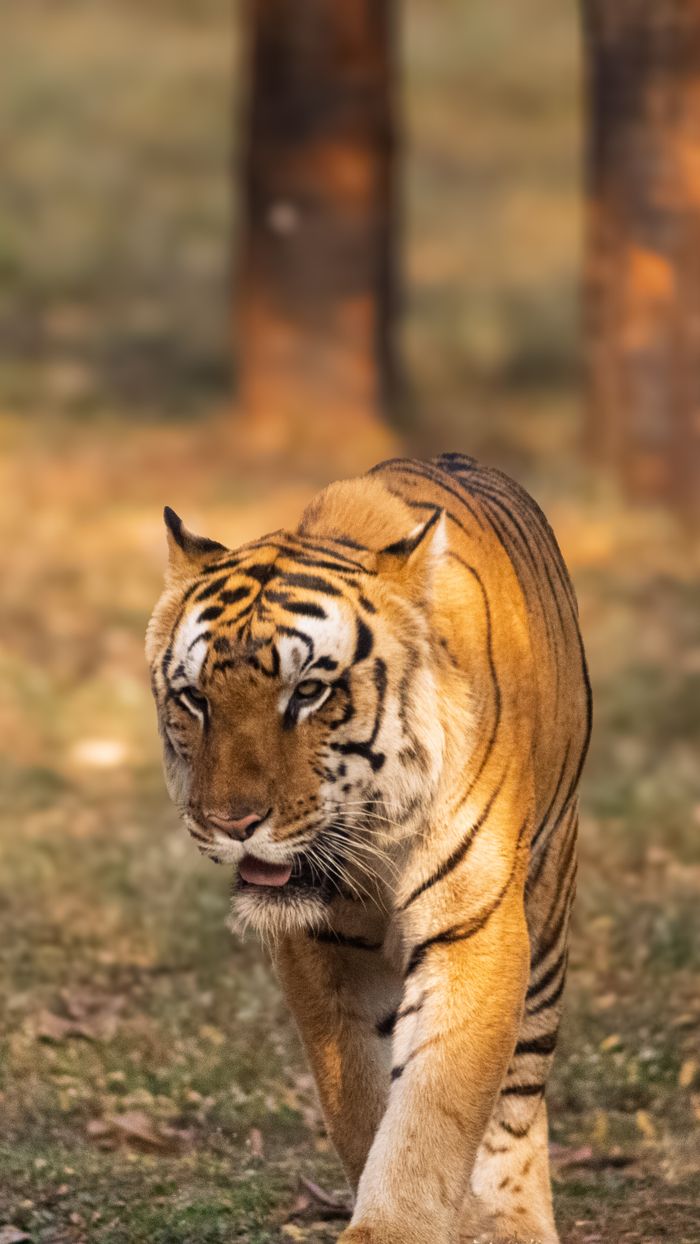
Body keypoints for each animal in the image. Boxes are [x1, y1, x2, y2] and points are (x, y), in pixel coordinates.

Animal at [146, 453, 591, 1244]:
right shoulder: (322, 950)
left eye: (309, 693)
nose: (232, 821)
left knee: (519, 1096)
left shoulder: (472, 930)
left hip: (547, 909)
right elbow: (358, 1098)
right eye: (195, 698)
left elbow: (433, 1111)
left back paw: (513, 1220)